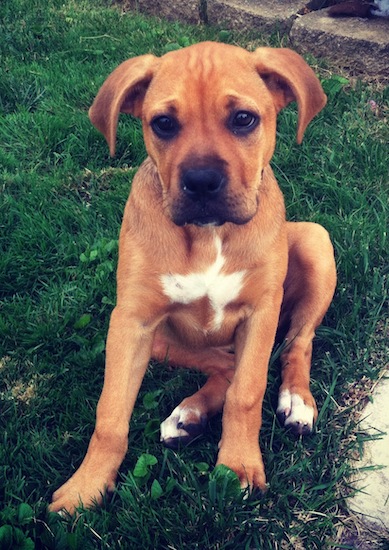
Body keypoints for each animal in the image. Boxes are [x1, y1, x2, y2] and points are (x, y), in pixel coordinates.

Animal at [48, 41, 334, 516]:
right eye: (163, 124)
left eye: (243, 119)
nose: (201, 182)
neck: (207, 235)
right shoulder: (131, 322)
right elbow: (110, 413)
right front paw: (85, 487)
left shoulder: (260, 312)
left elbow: (247, 393)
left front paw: (238, 467)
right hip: (161, 342)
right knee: (224, 365)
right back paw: (189, 416)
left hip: (316, 240)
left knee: (296, 343)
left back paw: (295, 400)